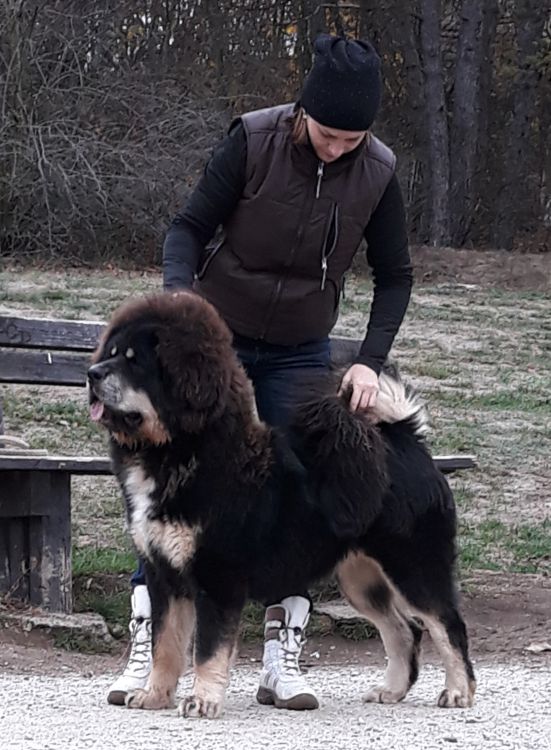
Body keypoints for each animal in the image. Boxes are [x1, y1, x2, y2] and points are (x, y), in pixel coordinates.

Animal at [88, 290, 476, 720]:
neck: (183, 451)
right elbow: (165, 646)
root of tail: (405, 439)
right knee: (404, 630)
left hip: (413, 567)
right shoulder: (164, 576)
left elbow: (207, 650)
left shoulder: (217, 578)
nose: (91, 373)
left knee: (447, 625)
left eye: (134, 361)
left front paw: (202, 699)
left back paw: (459, 692)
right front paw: (155, 695)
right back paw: (391, 690)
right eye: (111, 353)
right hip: (362, 579)